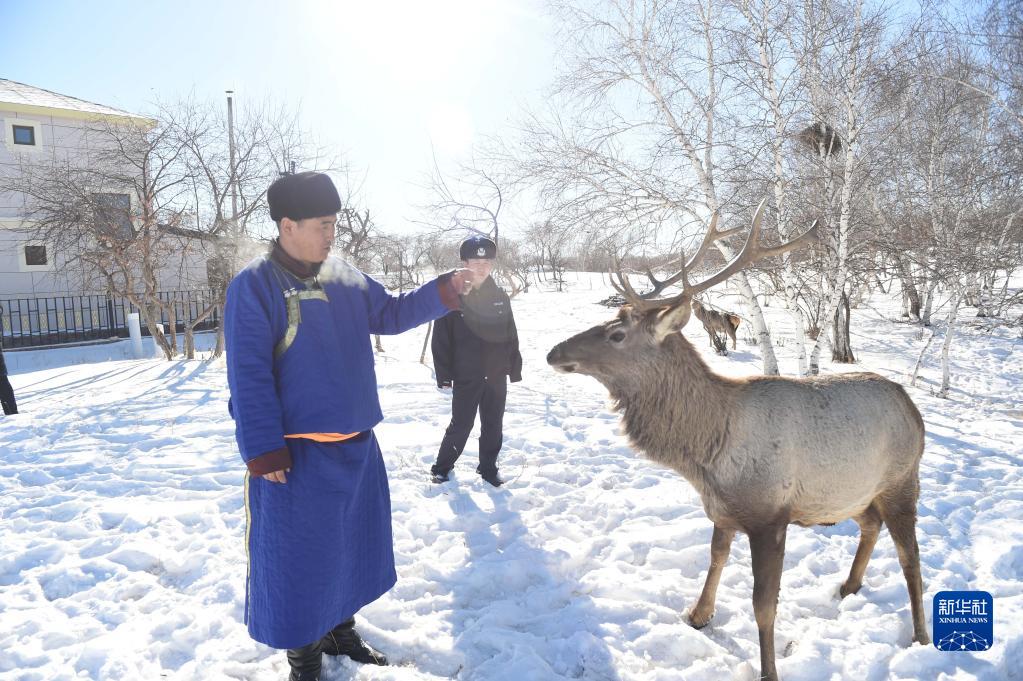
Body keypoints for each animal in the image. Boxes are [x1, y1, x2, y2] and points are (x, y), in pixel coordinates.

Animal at [548, 200, 932, 678]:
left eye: (617, 335)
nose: (554, 352)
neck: (705, 456)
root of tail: (915, 412)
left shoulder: (770, 516)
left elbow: (763, 604)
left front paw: (768, 669)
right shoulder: (723, 511)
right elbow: (715, 558)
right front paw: (697, 615)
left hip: (900, 480)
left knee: (911, 558)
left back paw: (920, 636)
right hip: (853, 492)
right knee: (870, 525)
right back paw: (848, 586)